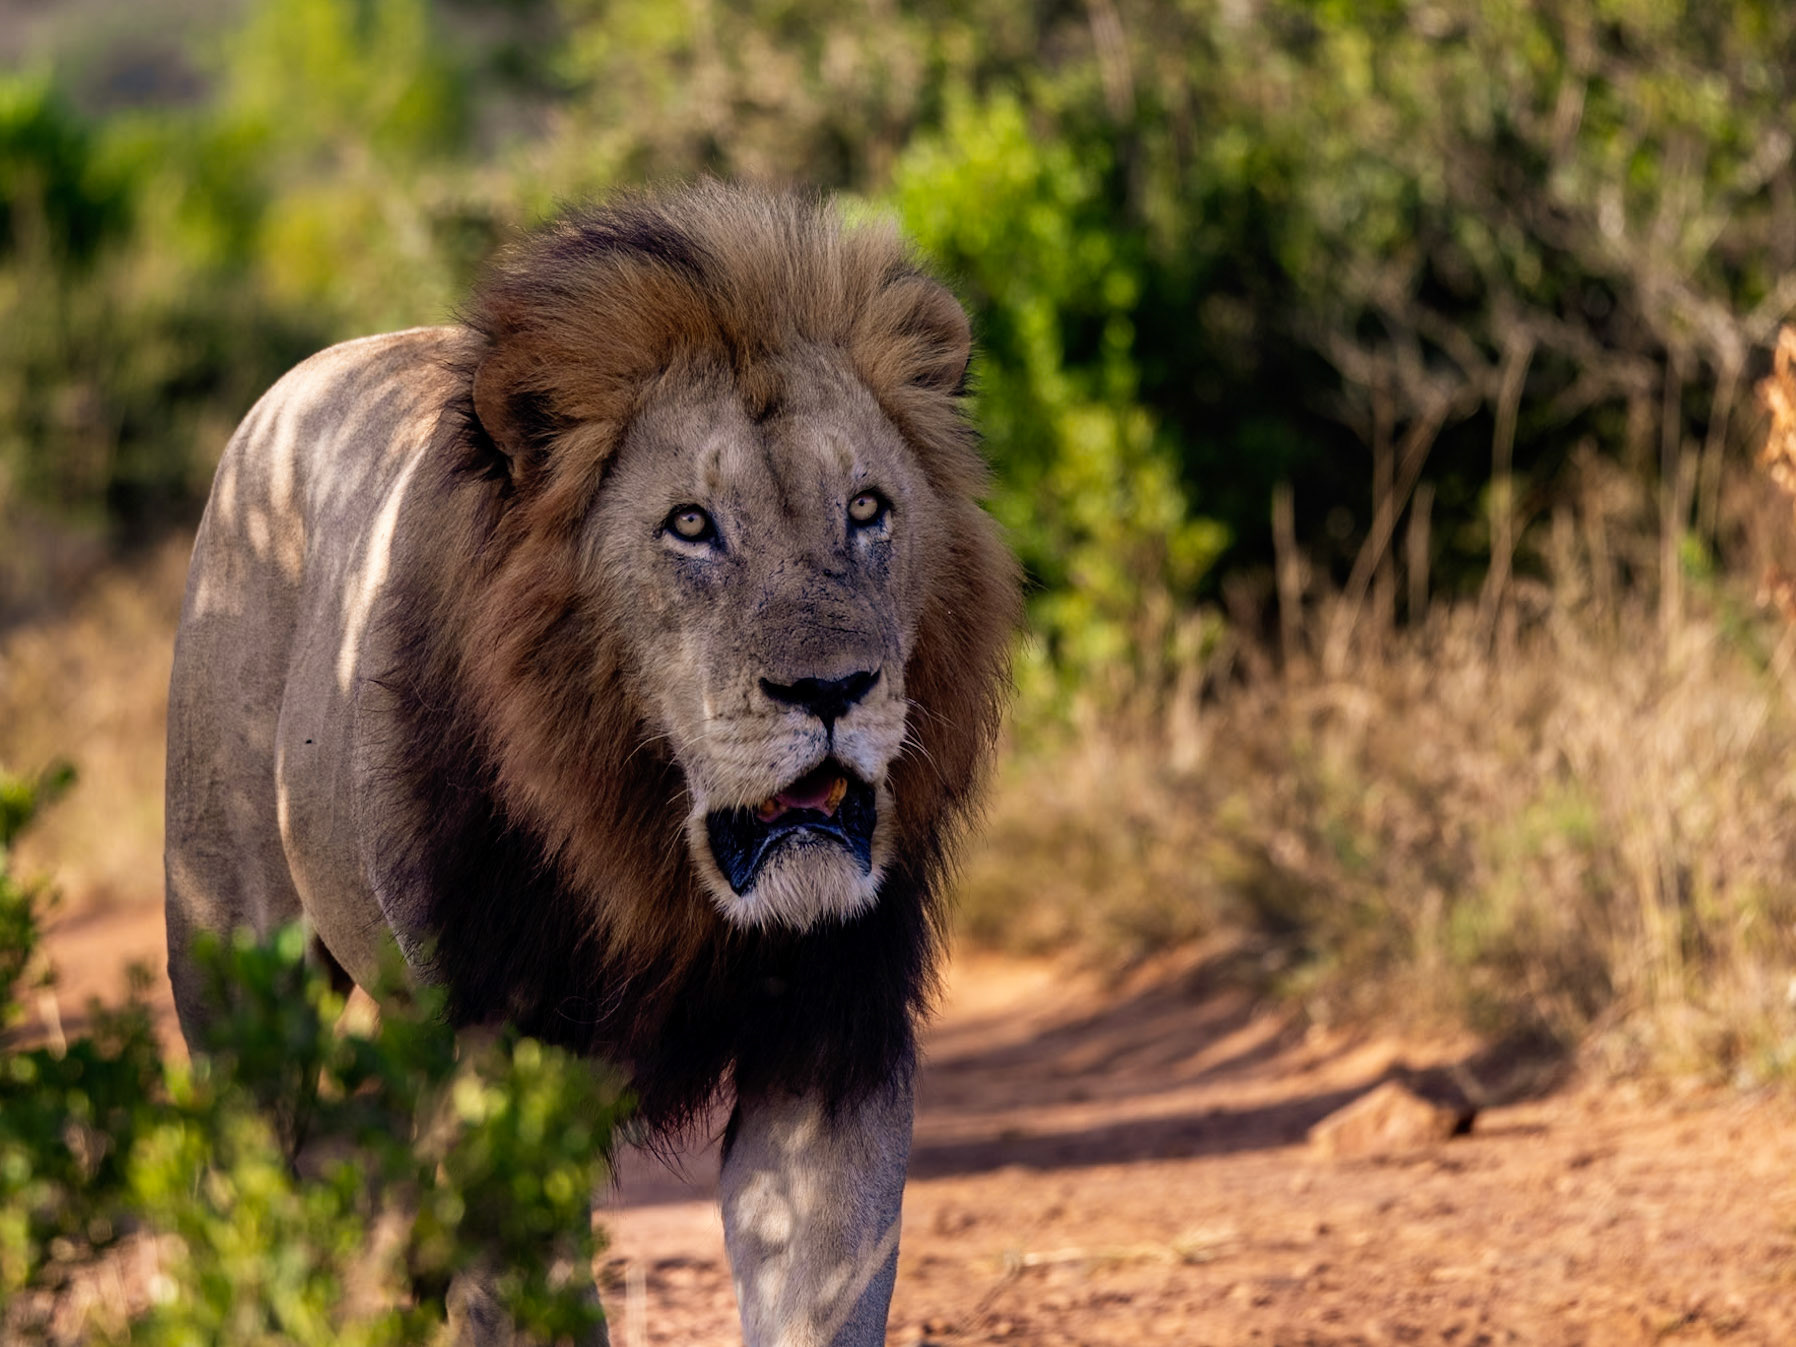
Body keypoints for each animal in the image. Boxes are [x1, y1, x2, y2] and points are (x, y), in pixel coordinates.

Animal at [163, 184, 1020, 1346]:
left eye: (867, 510)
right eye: (691, 526)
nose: (832, 690)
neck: (652, 864)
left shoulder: (831, 1042)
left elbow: (822, 1294)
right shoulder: (497, 1060)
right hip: (235, 974)